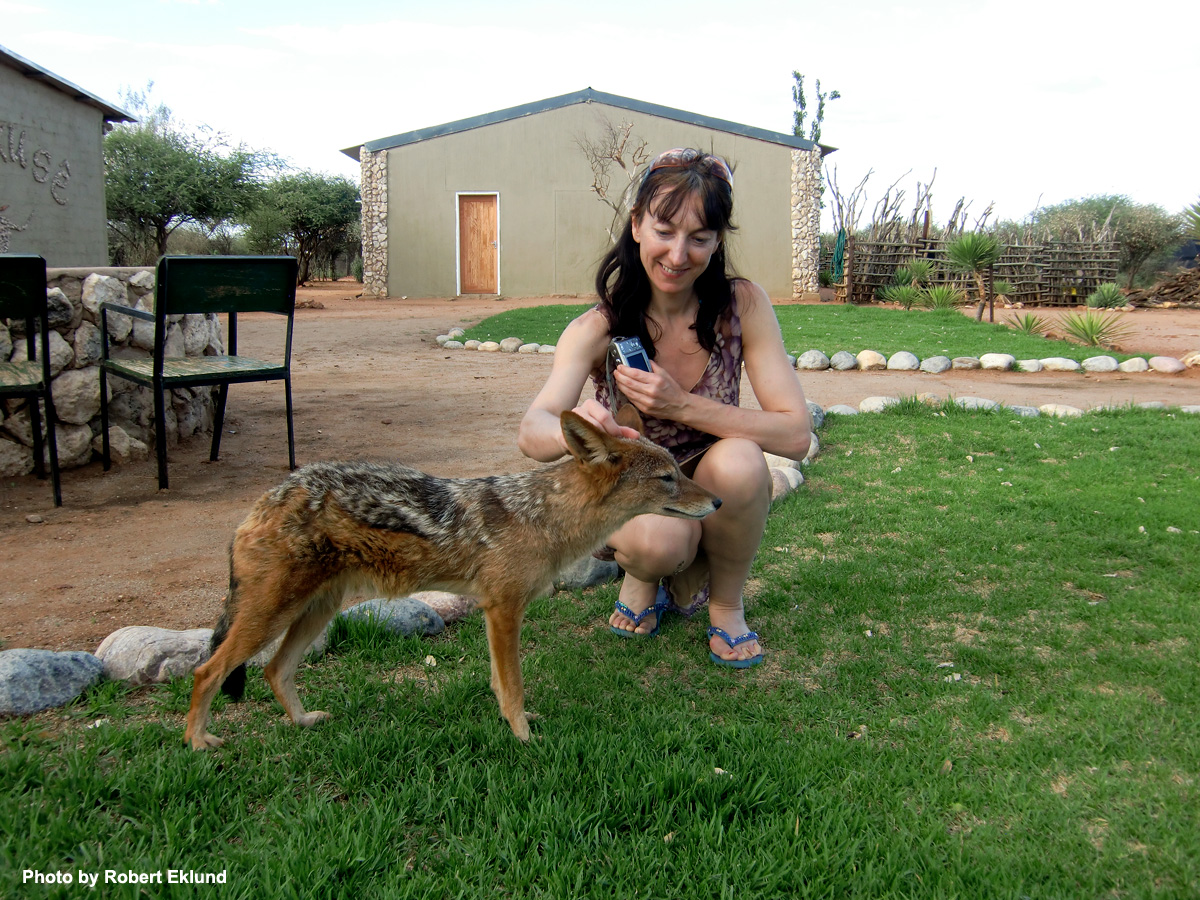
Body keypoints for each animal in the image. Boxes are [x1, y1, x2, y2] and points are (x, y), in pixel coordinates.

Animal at [184, 410, 721, 750]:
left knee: (275, 671)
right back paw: (198, 743)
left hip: (313, 612)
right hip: (270, 617)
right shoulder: (503, 610)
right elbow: (513, 685)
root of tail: (266, 498)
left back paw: (302, 722)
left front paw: (514, 726)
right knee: (206, 672)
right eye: (668, 478)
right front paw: (523, 738)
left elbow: (499, 683)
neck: (544, 517)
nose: (716, 501)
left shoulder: (493, 612)